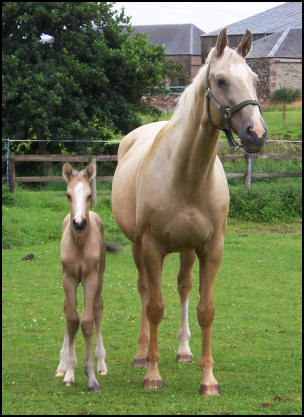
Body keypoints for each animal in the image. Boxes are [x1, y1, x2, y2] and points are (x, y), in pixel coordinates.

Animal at [111, 28, 266, 394]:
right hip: (139, 247)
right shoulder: (152, 247)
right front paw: (152, 375)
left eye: (255, 79)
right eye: (221, 80)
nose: (257, 133)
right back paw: (142, 355)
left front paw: (208, 380)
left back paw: (183, 350)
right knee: (144, 290)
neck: (187, 177)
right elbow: (154, 306)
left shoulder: (211, 249)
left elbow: (205, 309)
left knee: (183, 286)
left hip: (186, 248)